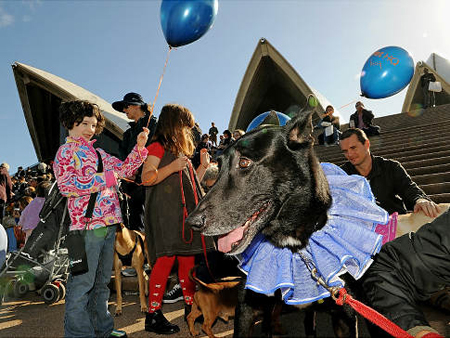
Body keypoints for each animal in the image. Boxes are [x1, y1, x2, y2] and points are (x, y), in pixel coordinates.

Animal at [186, 112, 358, 336]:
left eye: (244, 162)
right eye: (219, 166)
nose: (192, 222)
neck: (292, 244)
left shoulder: (345, 316)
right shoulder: (246, 309)